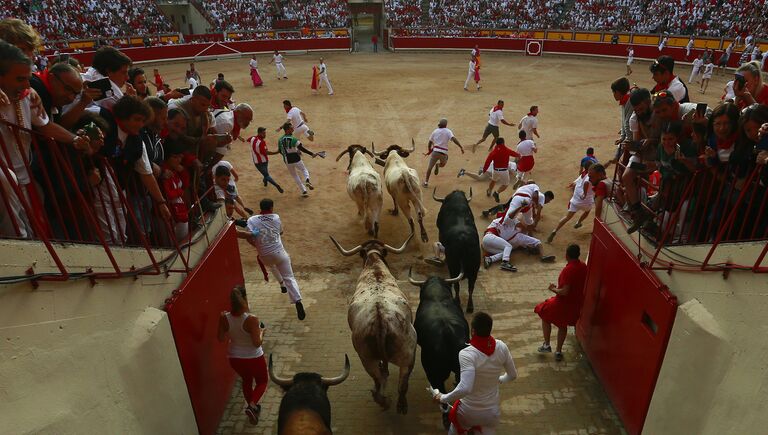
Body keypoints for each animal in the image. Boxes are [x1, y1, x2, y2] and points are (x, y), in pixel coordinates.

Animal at [328, 235, 416, 416]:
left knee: (381, 380)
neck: (375, 267)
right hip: (405, 355)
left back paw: (385, 401)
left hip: (368, 358)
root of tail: (380, 319)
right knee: (399, 384)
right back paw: (397, 405)